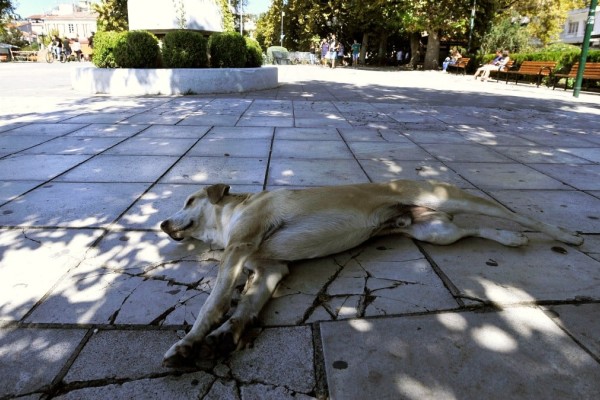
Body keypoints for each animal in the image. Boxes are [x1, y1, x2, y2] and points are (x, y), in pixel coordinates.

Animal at [159, 180, 580, 368]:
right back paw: (511, 239)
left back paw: (566, 234)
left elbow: (213, 304)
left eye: (189, 200)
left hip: (457, 199)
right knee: (473, 230)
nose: (162, 223)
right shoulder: (269, 270)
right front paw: (227, 335)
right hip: (436, 232)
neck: (229, 218)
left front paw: (190, 342)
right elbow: (246, 307)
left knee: (512, 213)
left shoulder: (239, 248)